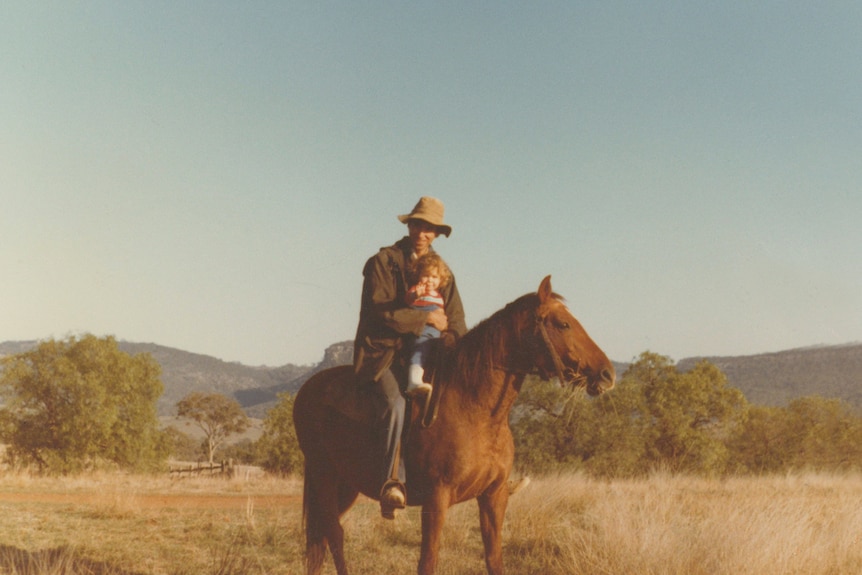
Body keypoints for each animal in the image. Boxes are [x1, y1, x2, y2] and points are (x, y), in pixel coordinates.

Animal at [294, 276, 616, 572]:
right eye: (563, 324)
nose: (607, 374)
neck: (476, 410)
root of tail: (308, 388)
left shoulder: (494, 497)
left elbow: (494, 560)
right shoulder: (436, 500)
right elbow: (428, 562)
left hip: (346, 484)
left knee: (322, 538)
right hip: (323, 474)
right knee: (334, 535)